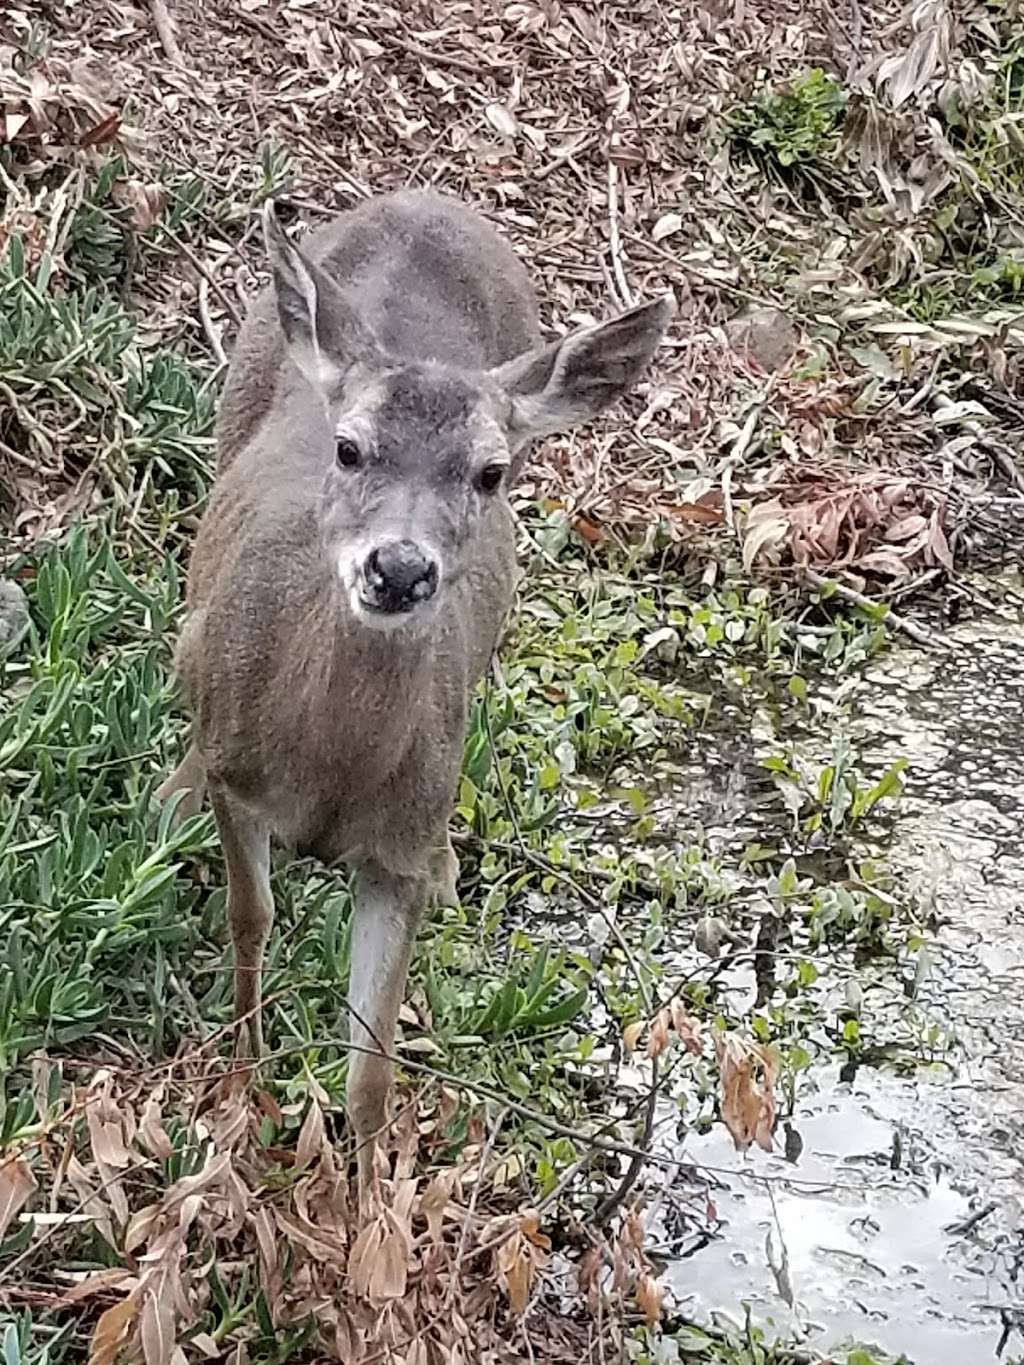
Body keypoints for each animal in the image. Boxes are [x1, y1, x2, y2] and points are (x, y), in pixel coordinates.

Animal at [158, 189, 674, 1195]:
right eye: (349, 448)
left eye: (488, 471)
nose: (399, 568)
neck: (325, 772)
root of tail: (427, 201)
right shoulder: (240, 776)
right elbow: (250, 921)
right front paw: (244, 1090)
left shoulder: (398, 845)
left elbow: (373, 1065)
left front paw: (362, 1208)